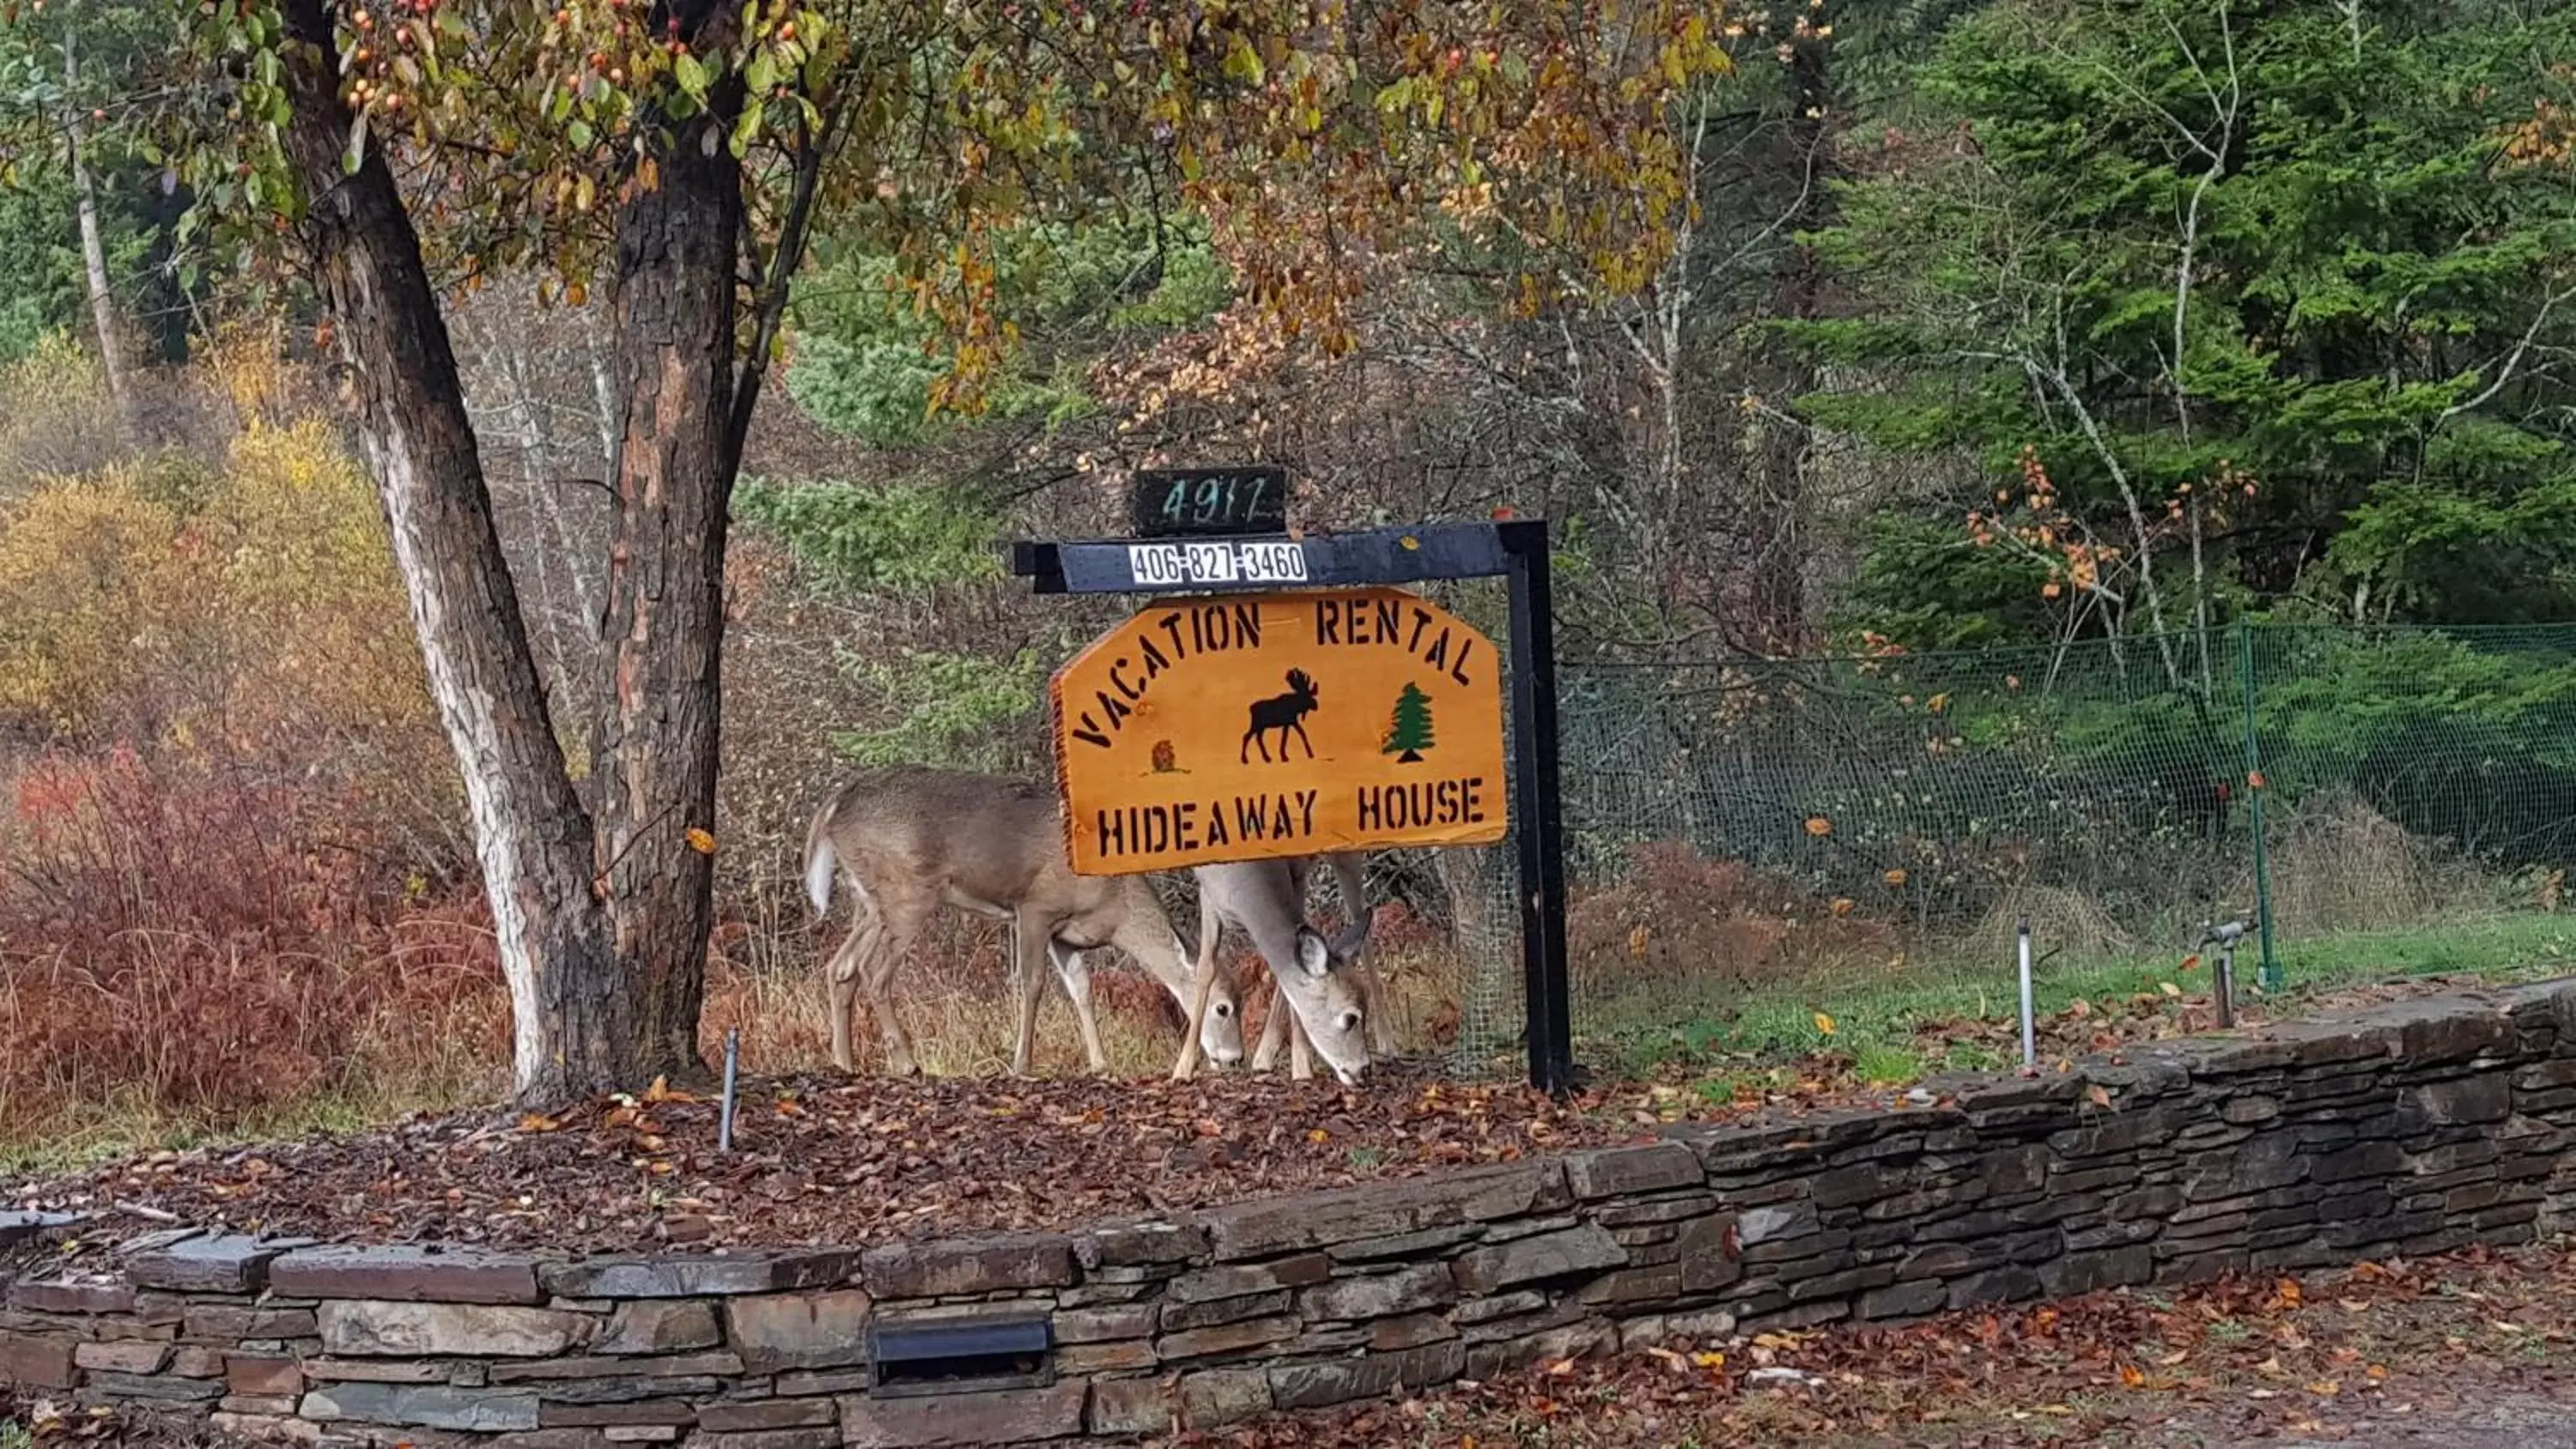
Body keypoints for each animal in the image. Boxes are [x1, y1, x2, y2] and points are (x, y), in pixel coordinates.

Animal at [804, 772, 1247, 1076]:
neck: (1116, 907)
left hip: (869, 902)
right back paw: (907, 1063)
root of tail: (834, 807)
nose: (1235, 1058)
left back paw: (844, 1062)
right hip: (907, 895)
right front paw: (1022, 1064)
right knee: (874, 972)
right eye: (1223, 1008)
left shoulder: (1066, 935)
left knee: (841, 967)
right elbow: (1031, 984)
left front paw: (1100, 1063)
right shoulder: (1035, 908)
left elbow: (1081, 991)